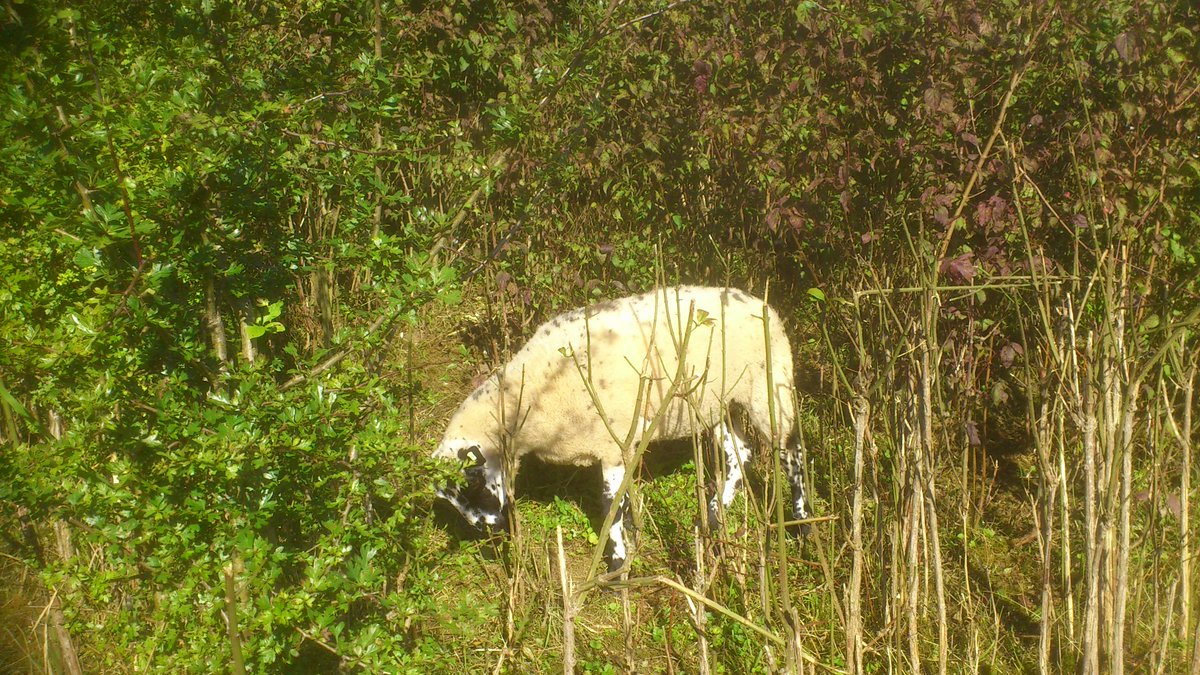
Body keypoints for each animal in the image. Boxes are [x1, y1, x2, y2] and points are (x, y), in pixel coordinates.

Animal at [434, 285, 811, 573]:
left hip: (769, 388)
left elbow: (610, 504)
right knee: (741, 453)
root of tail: (764, 306)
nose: (489, 529)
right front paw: (630, 530)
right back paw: (716, 514)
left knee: (791, 451)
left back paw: (802, 523)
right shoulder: (621, 444)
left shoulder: (612, 442)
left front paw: (616, 564)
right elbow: (625, 498)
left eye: (471, 481)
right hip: (717, 401)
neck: (529, 400)